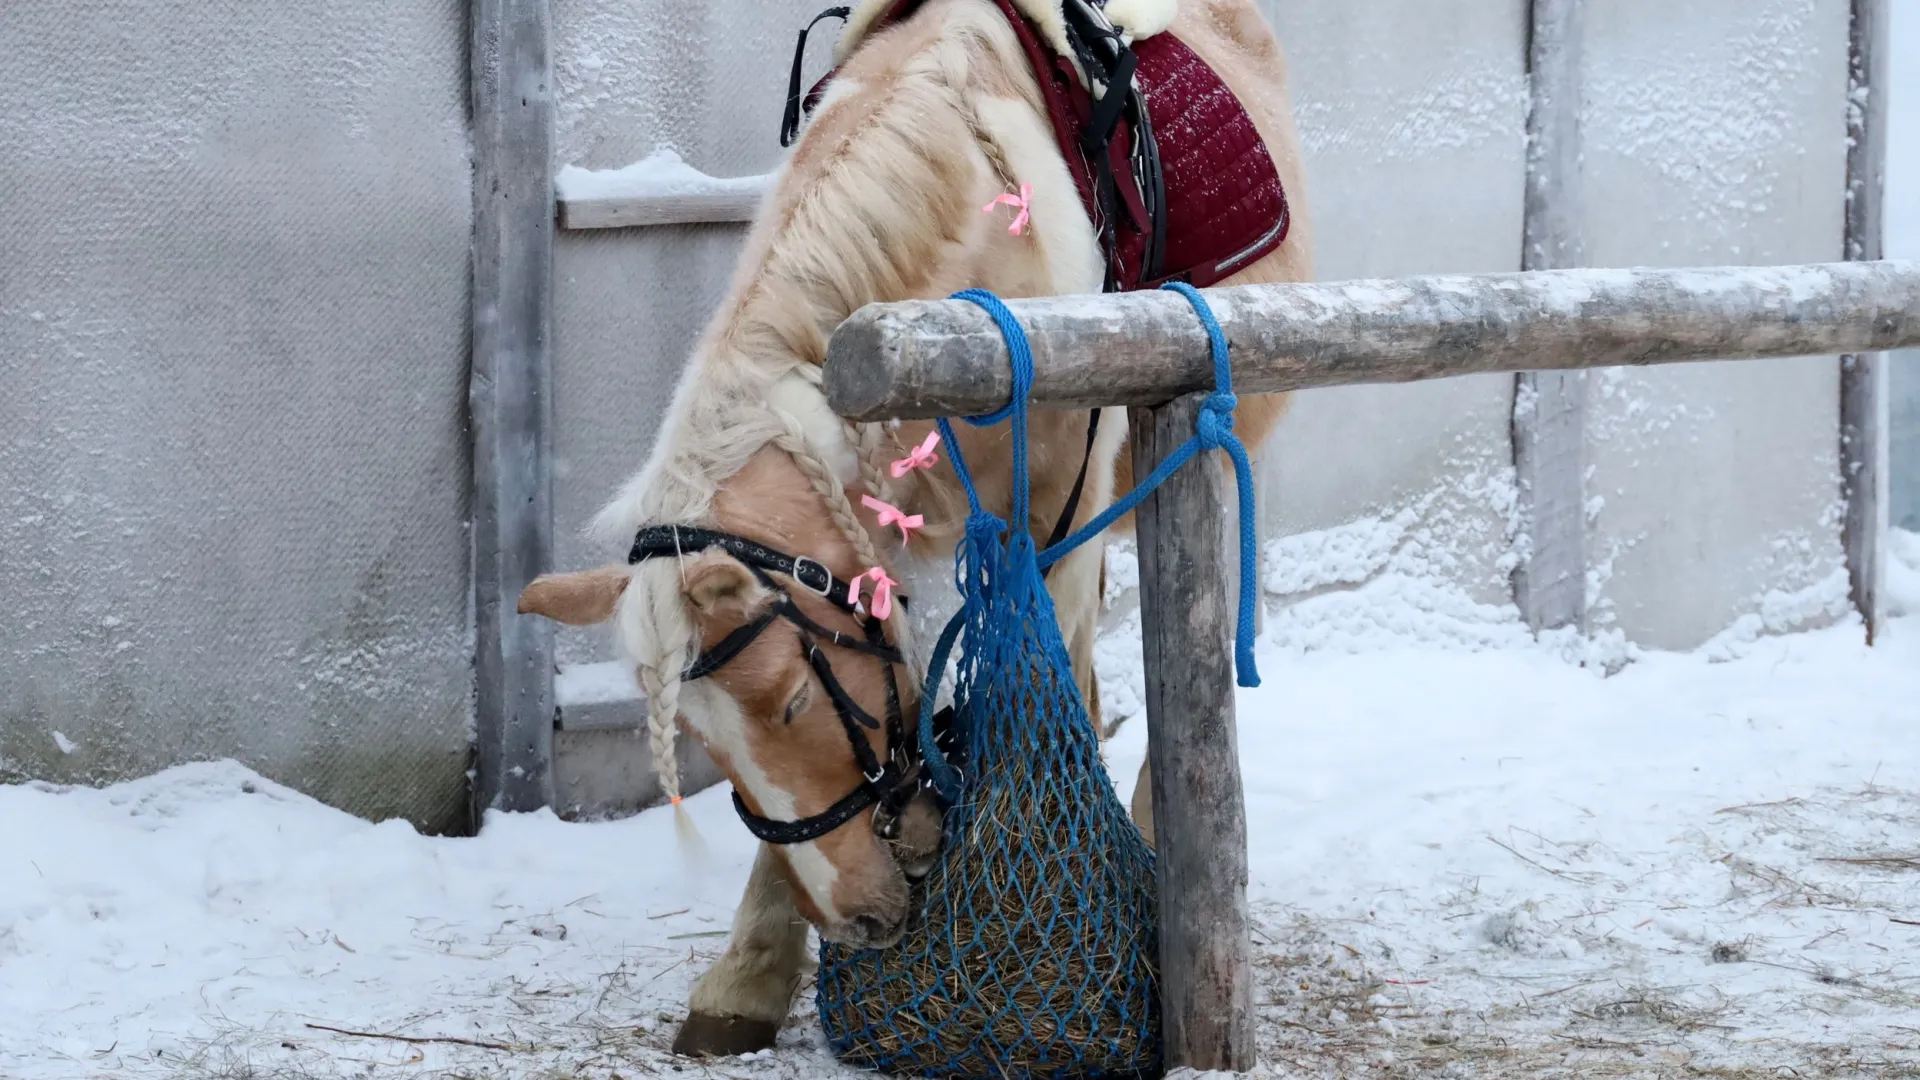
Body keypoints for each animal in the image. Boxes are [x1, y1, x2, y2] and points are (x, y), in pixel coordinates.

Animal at [518, 0, 1313, 1053]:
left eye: (793, 705)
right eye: (702, 738)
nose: (854, 915)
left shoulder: (1057, 520)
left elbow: (1040, 687)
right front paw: (749, 977)